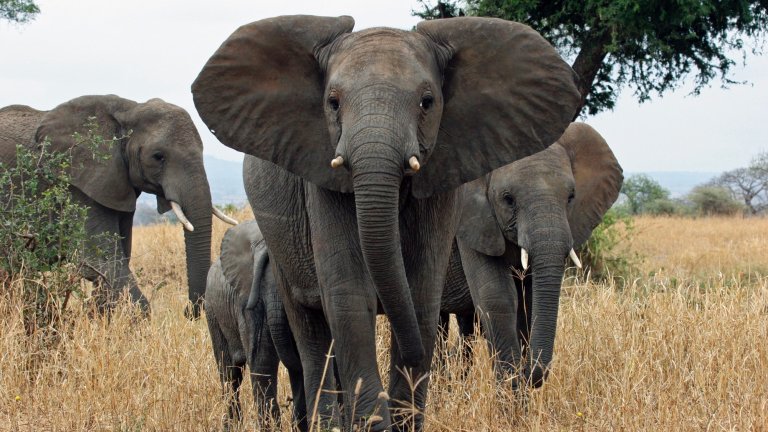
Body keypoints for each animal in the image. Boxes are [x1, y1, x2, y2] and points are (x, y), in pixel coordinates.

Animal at [205, 220, 306, 431]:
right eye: (262, 280)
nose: (289, 401)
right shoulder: (248, 299)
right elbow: (262, 361)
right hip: (212, 310)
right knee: (229, 374)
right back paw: (232, 426)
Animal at [439, 122, 623, 388]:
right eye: (508, 199)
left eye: (571, 197)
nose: (528, 374)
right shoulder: (472, 219)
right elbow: (497, 298)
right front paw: (511, 389)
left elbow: (528, 303)